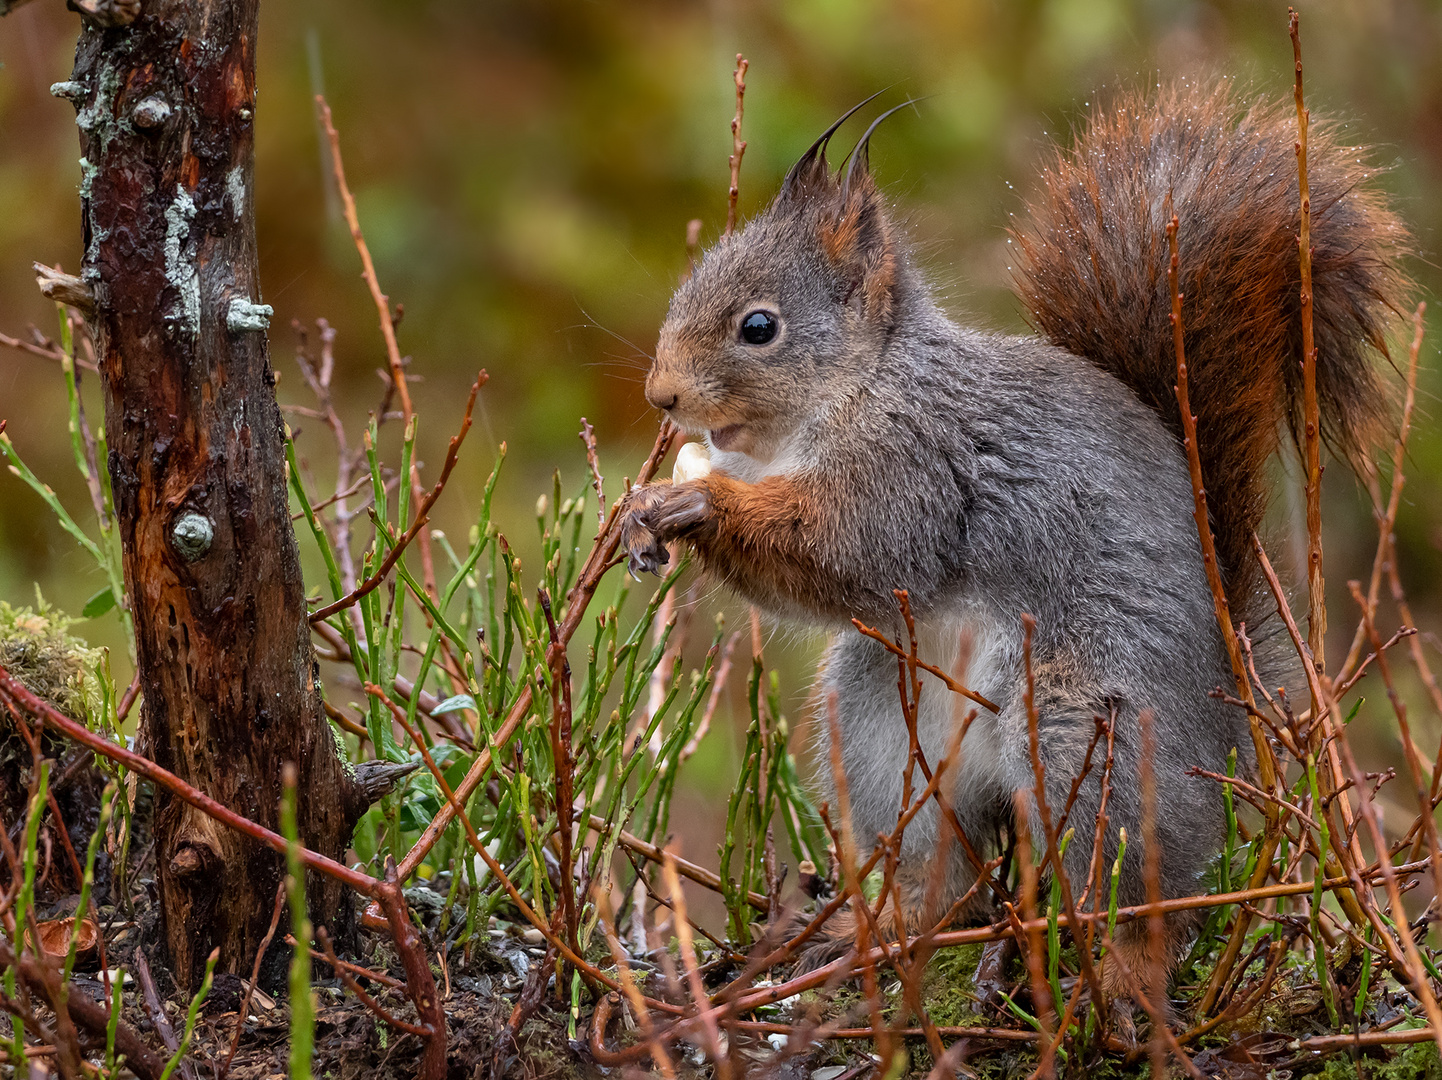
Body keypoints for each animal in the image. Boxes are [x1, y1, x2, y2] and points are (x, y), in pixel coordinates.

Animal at [620, 82, 1407, 1003]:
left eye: (758, 327)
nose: (662, 395)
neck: (856, 392)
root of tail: (1226, 719)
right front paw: (644, 508)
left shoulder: (916, 465)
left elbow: (848, 550)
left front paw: (698, 500)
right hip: (884, 734)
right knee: (944, 875)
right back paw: (873, 932)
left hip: (1088, 739)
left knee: (1135, 893)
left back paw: (1122, 977)